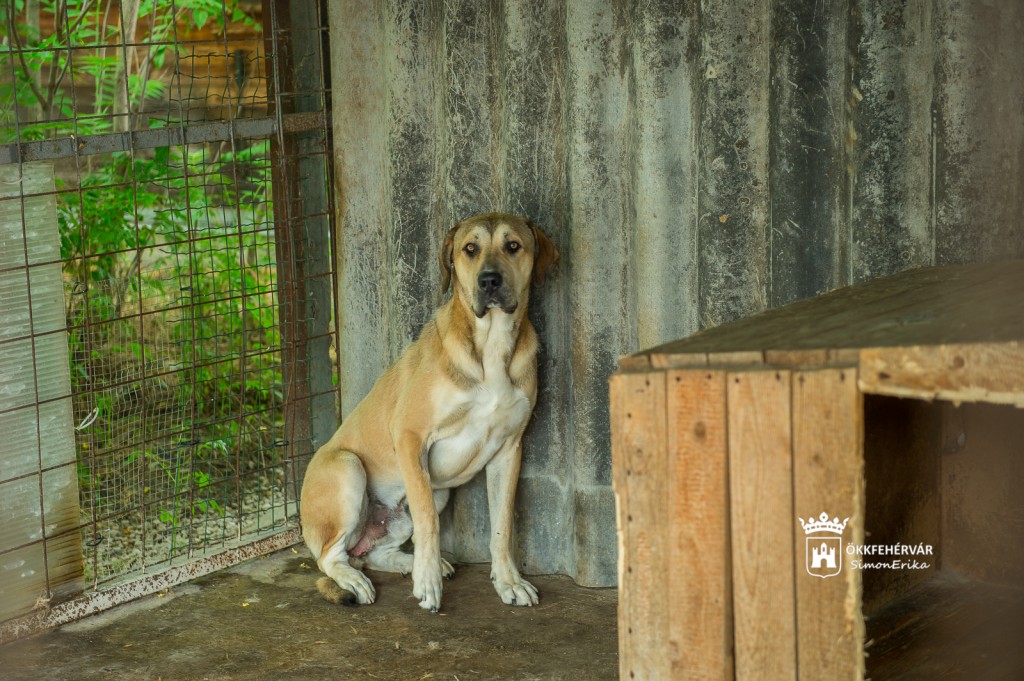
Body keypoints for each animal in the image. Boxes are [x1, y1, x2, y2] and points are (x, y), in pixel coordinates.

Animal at [300, 212, 559, 612]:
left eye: (513, 245)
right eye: (470, 249)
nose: (489, 280)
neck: (490, 342)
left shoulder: (508, 450)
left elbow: (501, 527)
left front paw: (508, 582)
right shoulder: (411, 437)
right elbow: (428, 526)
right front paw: (428, 583)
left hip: (434, 496)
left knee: (375, 553)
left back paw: (414, 563)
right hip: (349, 468)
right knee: (331, 557)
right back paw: (360, 579)